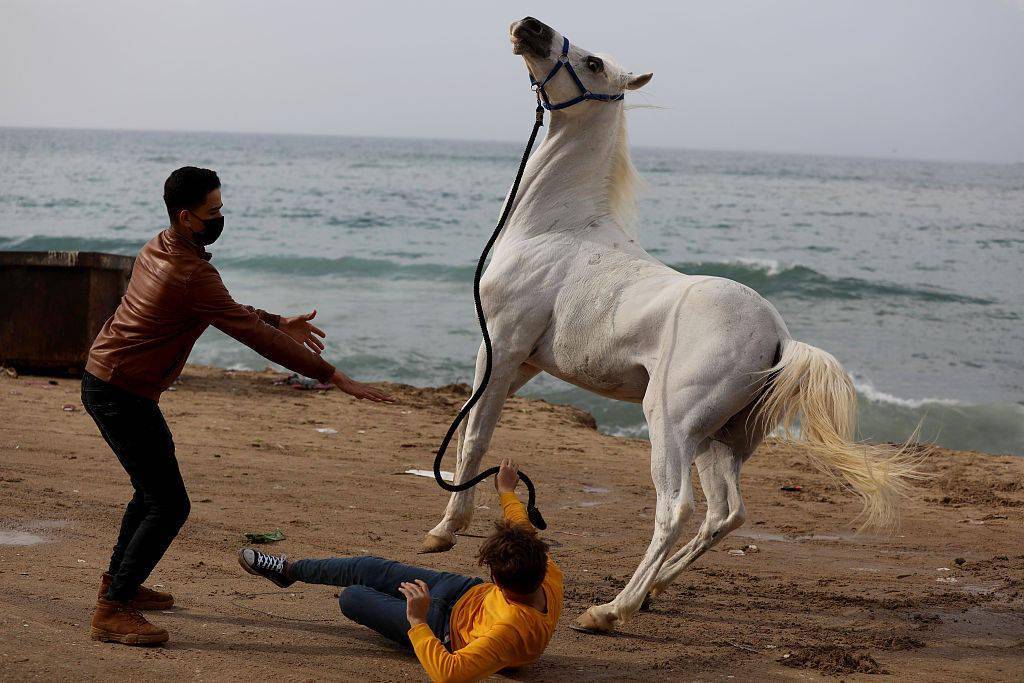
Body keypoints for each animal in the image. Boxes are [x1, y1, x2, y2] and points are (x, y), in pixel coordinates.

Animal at [421, 17, 921, 634]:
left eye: (593, 63)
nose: (530, 27)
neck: (553, 228)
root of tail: (781, 340)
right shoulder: (524, 365)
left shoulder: (501, 348)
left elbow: (472, 438)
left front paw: (443, 532)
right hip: (718, 442)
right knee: (726, 515)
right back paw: (654, 589)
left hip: (672, 426)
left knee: (676, 509)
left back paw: (611, 609)